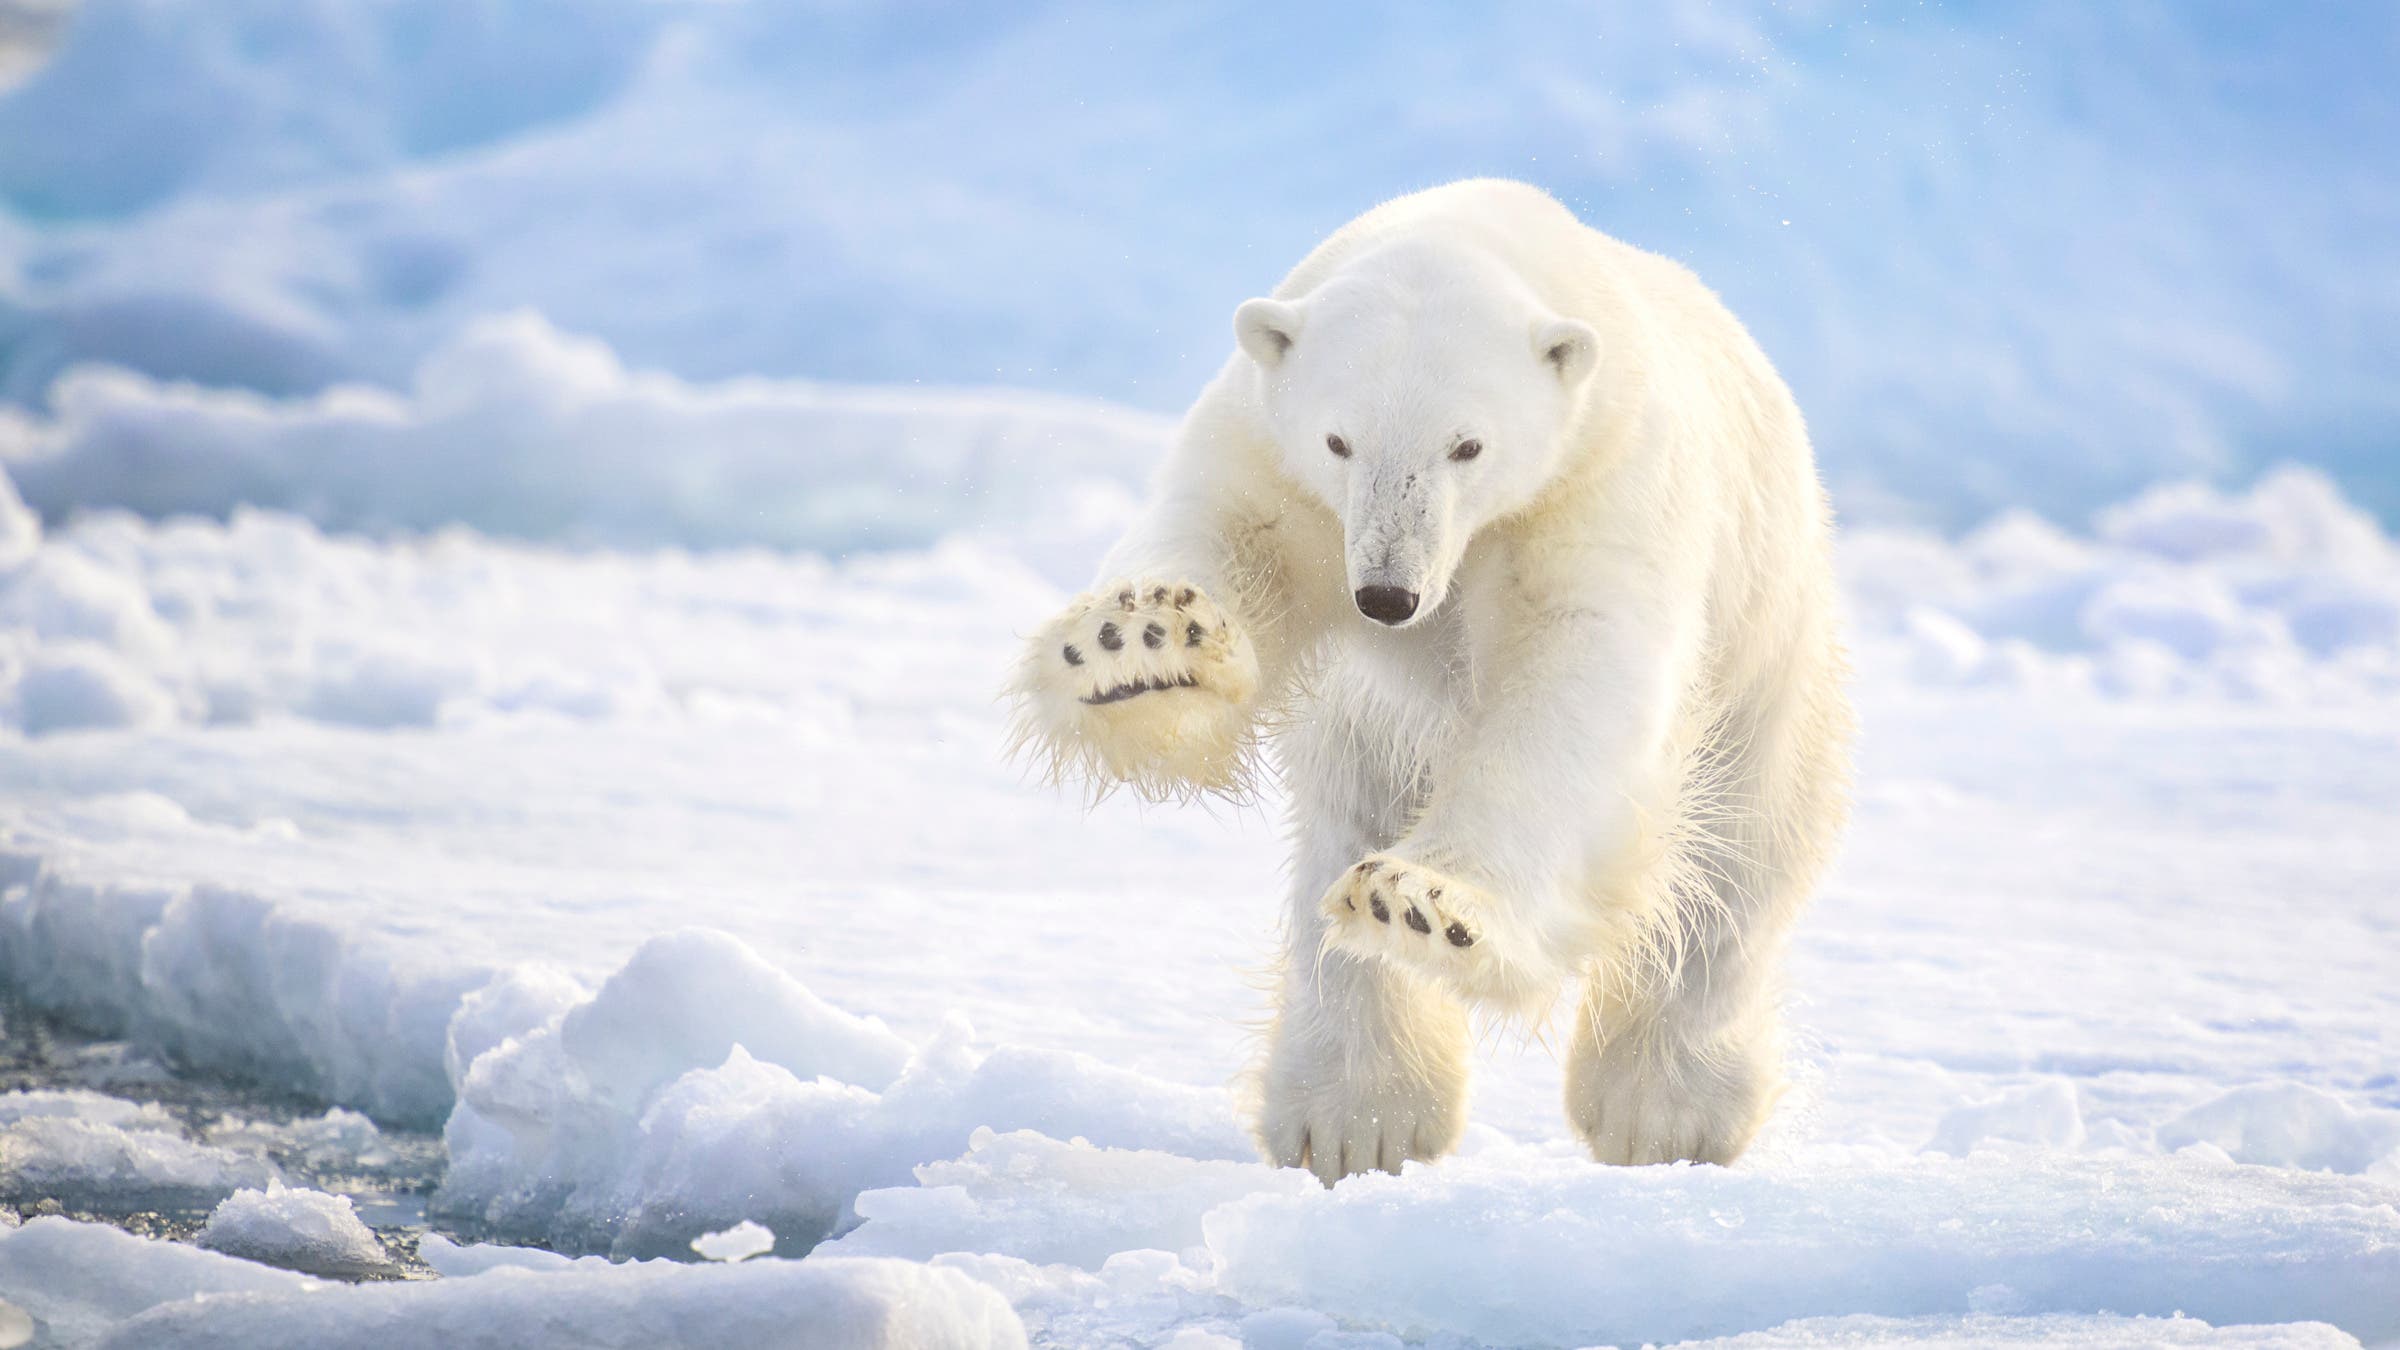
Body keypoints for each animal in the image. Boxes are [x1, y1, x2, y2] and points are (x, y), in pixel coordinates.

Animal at [1008, 179, 1853, 1183]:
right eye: (1339, 439)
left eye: (1468, 446)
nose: (1386, 594)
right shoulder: (1270, 456)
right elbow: (1218, 539)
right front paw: (1137, 648)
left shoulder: (1597, 485)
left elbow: (1571, 687)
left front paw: (1424, 903)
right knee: (1345, 822)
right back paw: (1355, 1116)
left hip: (1767, 642)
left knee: (1737, 852)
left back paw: (1662, 1113)